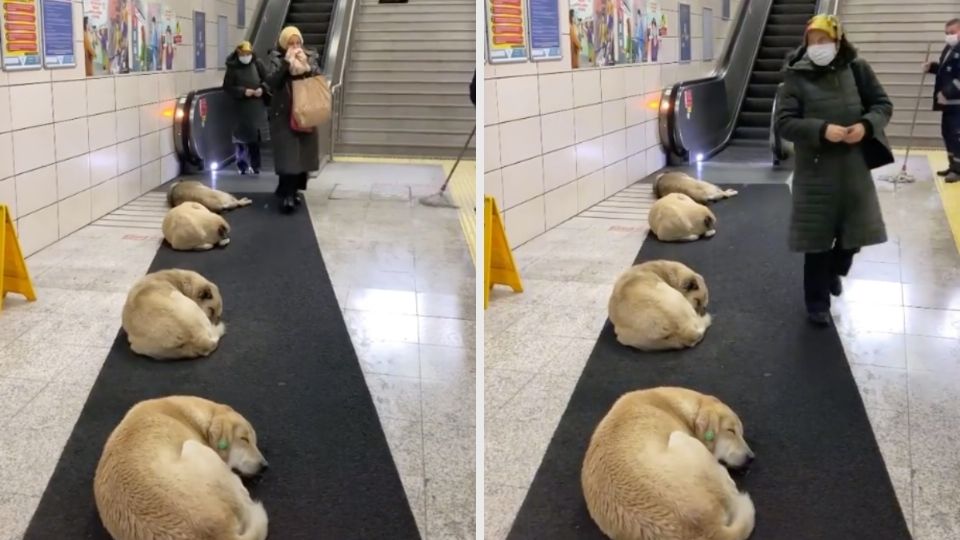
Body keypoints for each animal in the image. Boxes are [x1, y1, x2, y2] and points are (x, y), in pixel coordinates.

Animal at [94, 392, 270, 540]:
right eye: (244, 439)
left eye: (254, 441)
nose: (265, 466)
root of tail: (221, 533)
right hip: (194, 447)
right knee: (243, 497)